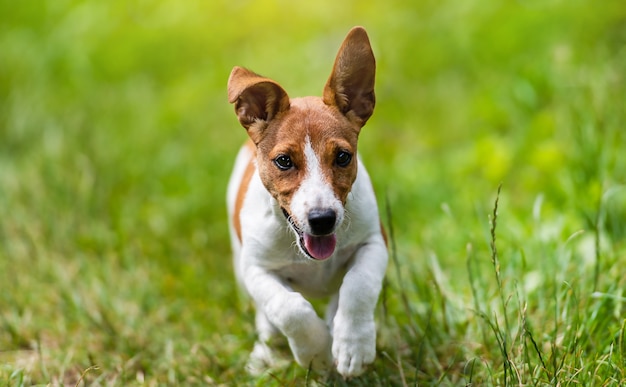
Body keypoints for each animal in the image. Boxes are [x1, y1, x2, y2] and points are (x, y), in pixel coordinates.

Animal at [227, 25, 388, 378]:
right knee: (268, 320)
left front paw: (352, 346)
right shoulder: (256, 269)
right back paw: (265, 352)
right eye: (284, 161)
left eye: (343, 157)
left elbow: (357, 287)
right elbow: (289, 308)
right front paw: (316, 353)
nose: (322, 219)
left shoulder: (374, 243)